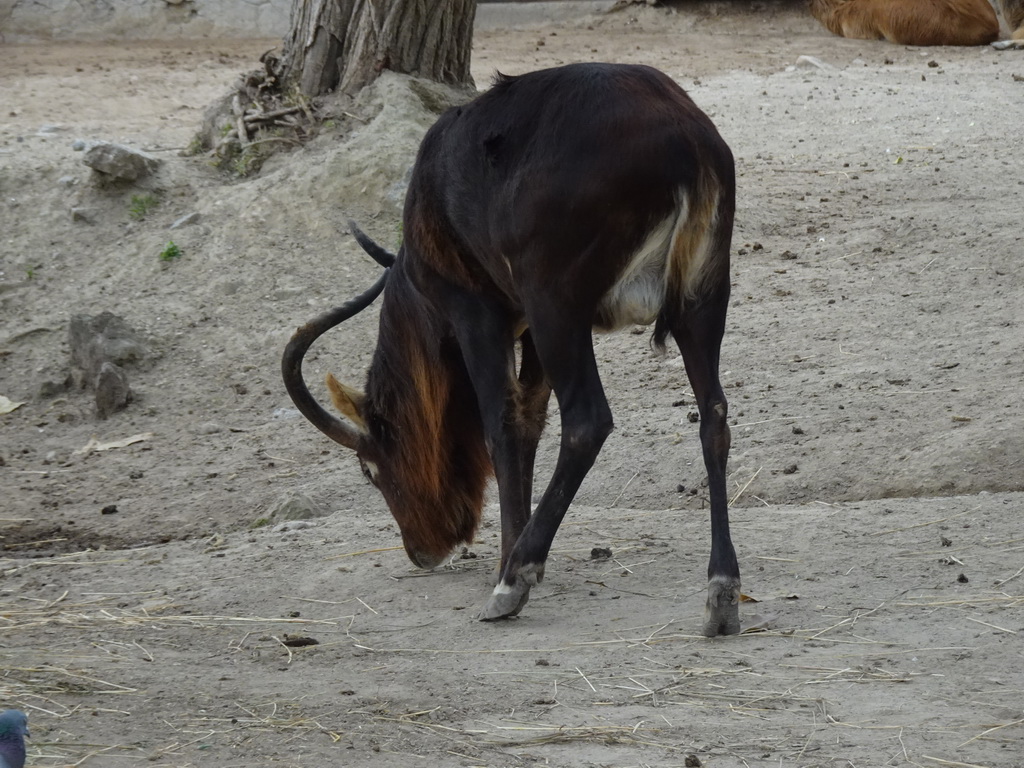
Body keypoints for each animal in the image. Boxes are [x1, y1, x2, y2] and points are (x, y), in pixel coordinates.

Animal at [284, 61, 741, 638]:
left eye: (368, 469)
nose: (423, 551)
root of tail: (684, 136)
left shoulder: (480, 314)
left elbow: (501, 424)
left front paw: (509, 566)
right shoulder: (528, 336)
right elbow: (529, 421)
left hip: (557, 310)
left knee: (588, 421)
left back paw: (513, 582)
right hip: (700, 300)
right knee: (713, 416)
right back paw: (721, 593)